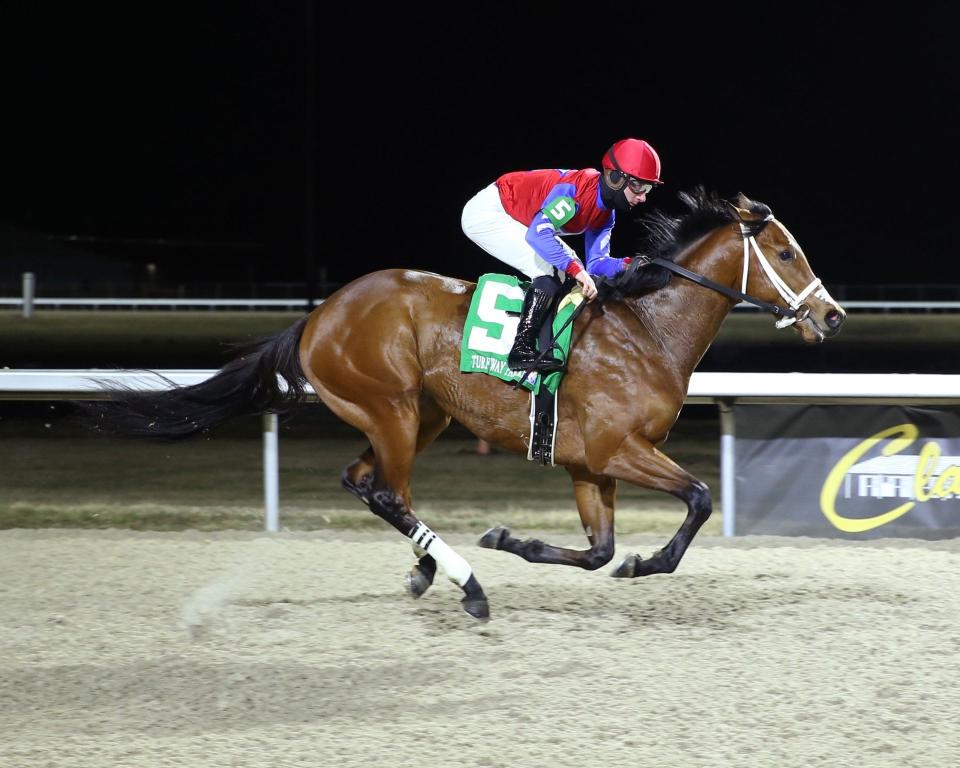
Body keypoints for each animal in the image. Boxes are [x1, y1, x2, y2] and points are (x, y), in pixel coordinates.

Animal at [88, 189, 840, 620]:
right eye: (784, 252)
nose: (831, 316)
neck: (647, 331)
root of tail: (318, 315)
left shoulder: (587, 464)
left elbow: (598, 551)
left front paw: (513, 538)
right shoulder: (617, 449)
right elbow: (700, 498)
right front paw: (644, 563)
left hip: (423, 414)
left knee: (366, 483)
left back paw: (430, 569)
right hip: (391, 407)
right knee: (386, 492)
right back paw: (467, 584)